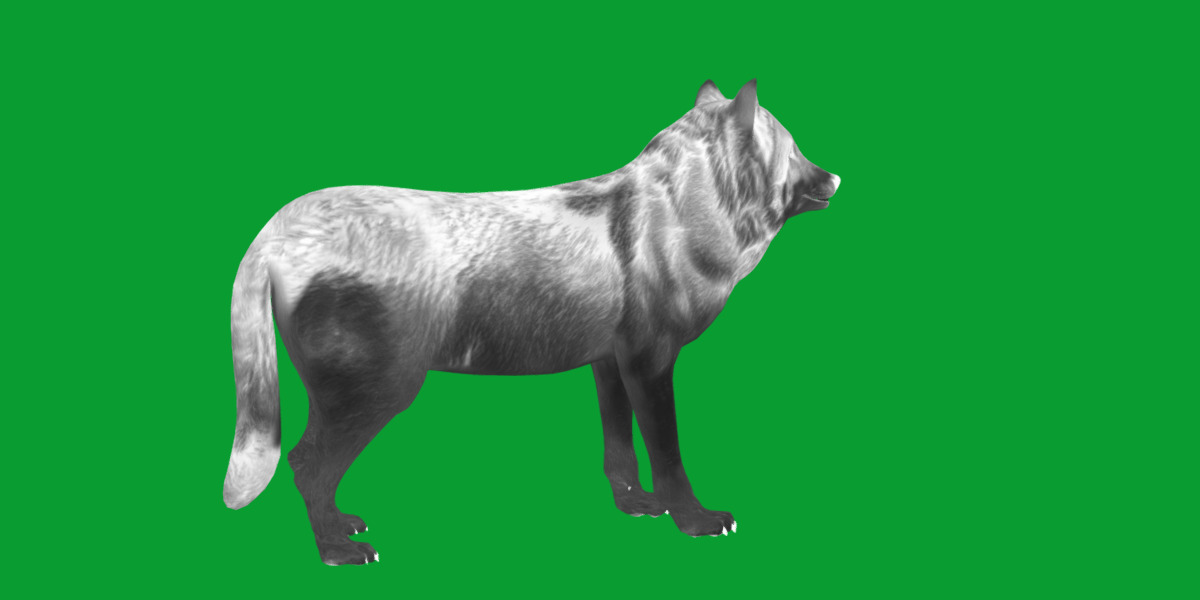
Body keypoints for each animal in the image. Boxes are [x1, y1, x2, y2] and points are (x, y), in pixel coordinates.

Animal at [223, 80, 840, 565]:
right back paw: (335, 550)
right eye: (795, 148)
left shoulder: (609, 364)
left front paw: (634, 506)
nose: (835, 178)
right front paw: (693, 521)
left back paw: (340, 527)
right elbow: (668, 455)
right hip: (377, 392)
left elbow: (619, 450)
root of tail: (277, 228)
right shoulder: (650, 362)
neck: (690, 210)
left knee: (310, 467)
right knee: (305, 464)